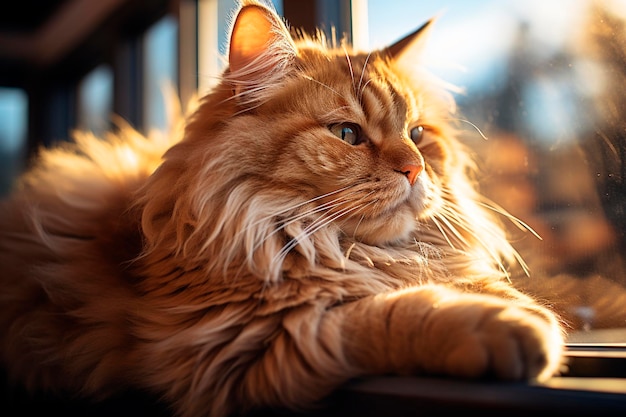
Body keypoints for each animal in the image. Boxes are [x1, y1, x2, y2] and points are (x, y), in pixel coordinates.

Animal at [0, 0, 564, 416]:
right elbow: (395, 313)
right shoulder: (257, 339)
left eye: (419, 134)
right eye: (347, 135)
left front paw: (515, 303)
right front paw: (509, 324)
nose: (414, 169)